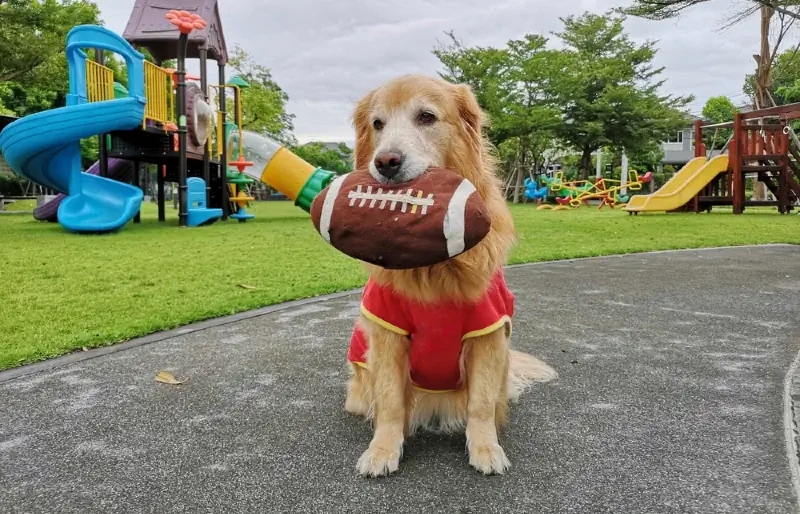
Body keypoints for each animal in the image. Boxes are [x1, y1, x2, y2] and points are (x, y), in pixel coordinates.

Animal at [344, 74, 556, 474]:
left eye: (426, 117)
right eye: (378, 124)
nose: (386, 162)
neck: (433, 264)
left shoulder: (488, 332)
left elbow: (481, 404)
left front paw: (486, 448)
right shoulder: (387, 333)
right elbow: (390, 401)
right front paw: (382, 450)